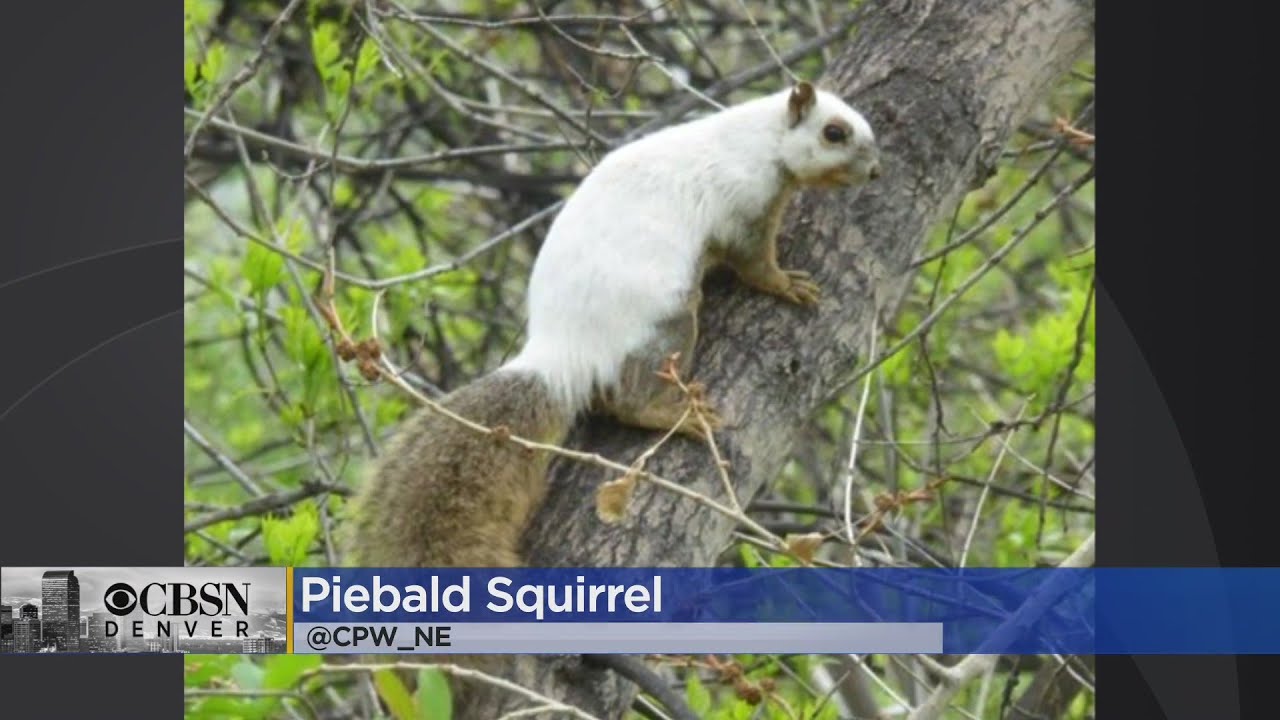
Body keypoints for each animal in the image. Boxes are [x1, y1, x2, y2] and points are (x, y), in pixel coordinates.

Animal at [347, 80, 879, 570]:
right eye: (834, 132)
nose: (875, 170)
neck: (759, 140)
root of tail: (560, 354)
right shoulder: (743, 207)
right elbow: (753, 263)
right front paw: (786, 284)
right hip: (667, 319)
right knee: (627, 400)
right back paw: (670, 414)